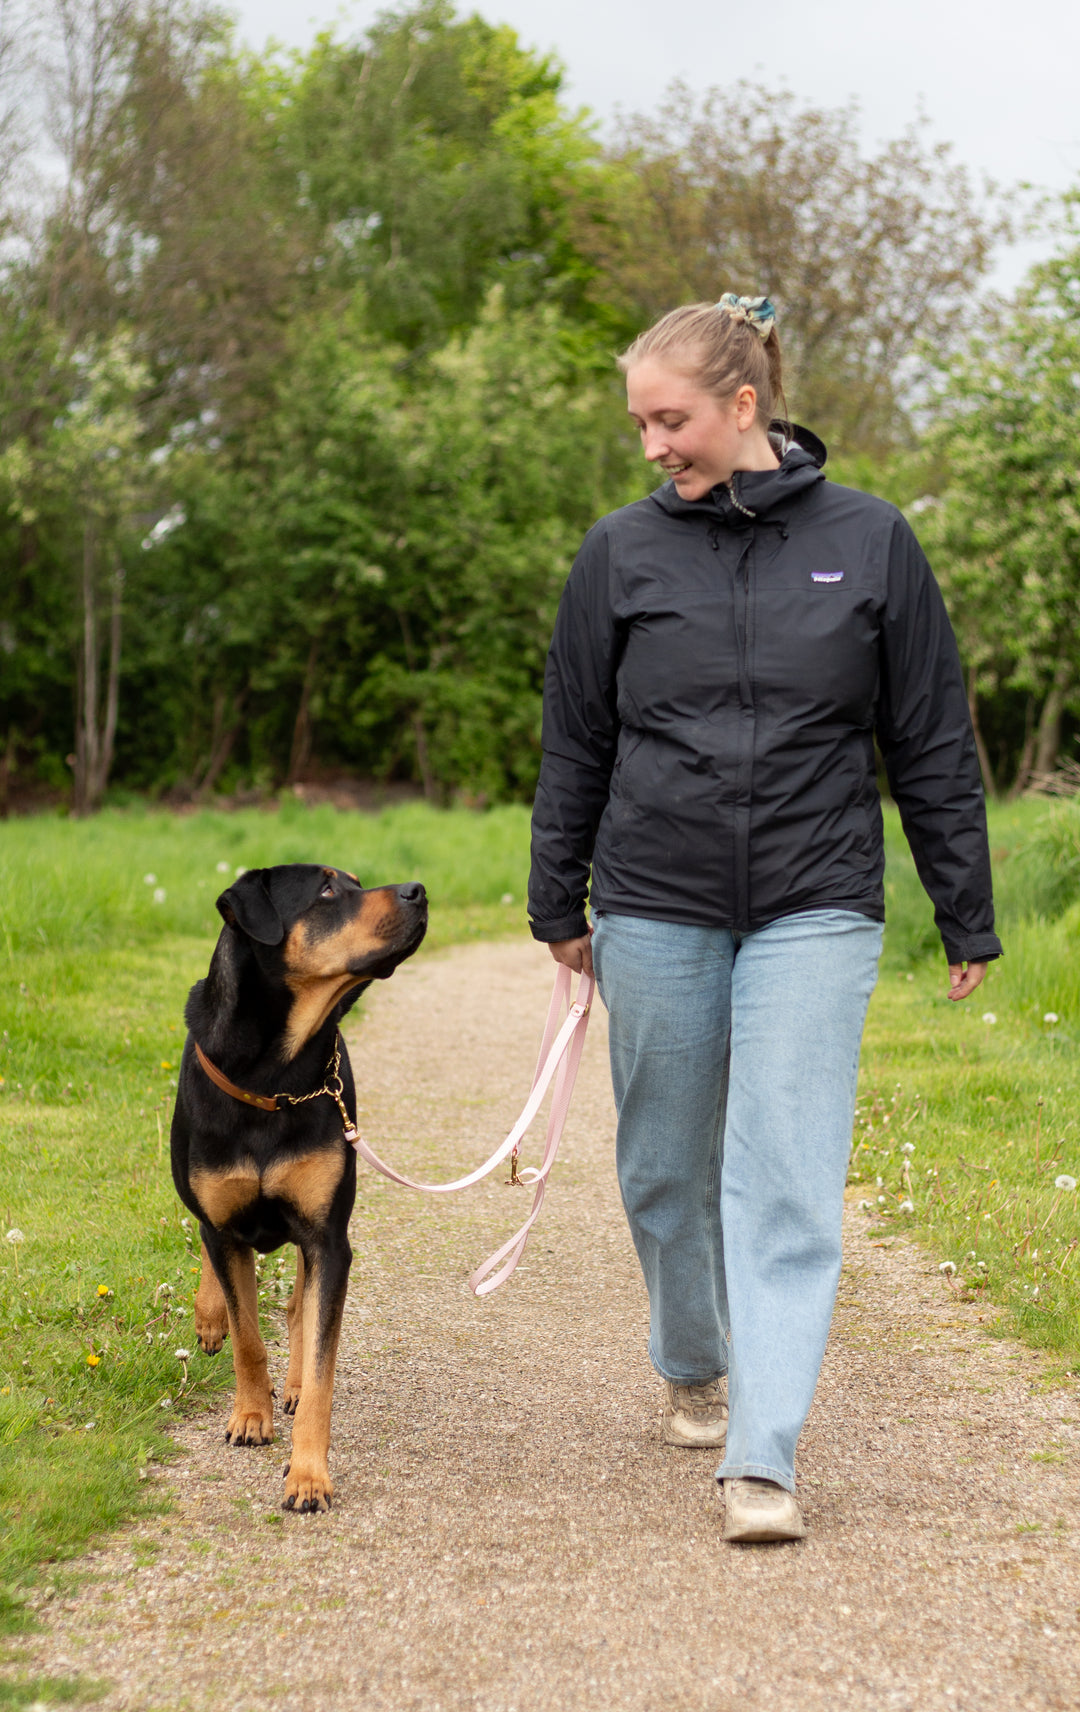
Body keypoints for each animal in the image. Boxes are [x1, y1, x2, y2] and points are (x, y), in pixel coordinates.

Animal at [170, 869, 426, 1513]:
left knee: (299, 1311)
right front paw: (249, 1416)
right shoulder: (224, 1221)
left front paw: (308, 1474)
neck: (275, 1076)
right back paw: (209, 1318)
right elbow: (246, 1337)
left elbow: (320, 1363)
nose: (418, 890)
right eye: (328, 891)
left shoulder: (327, 1237)